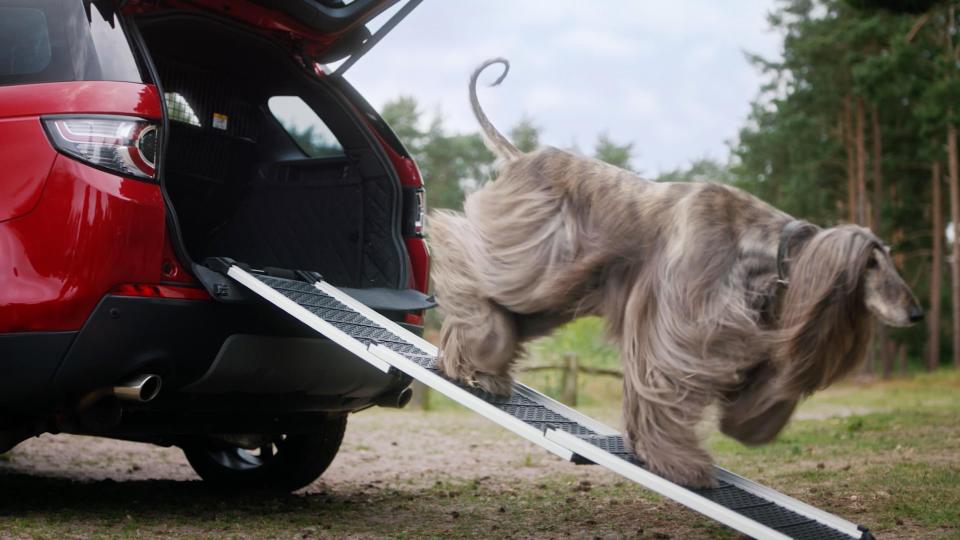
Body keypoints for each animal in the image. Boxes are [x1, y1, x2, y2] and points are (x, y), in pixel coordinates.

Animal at [432, 57, 928, 488]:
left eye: (890, 259)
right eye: (872, 264)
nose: (917, 313)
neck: (760, 249)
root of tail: (522, 159)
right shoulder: (682, 328)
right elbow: (667, 387)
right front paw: (680, 463)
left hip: (558, 283)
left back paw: (476, 366)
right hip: (534, 256)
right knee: (458, 249)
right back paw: (476, 349)